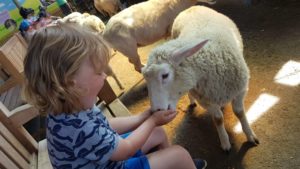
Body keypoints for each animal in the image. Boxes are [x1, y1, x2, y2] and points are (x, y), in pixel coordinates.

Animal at [142, 5, 258, 151]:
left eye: (165, 75)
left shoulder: (240, 90)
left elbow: (240, 112)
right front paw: (225, 142)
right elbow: (218, 119)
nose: (156, 111)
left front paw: (250, 135)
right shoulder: (206, 100)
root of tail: (192, 7)